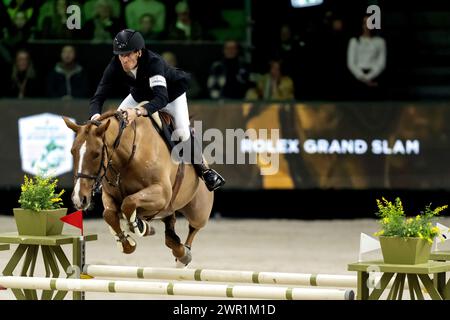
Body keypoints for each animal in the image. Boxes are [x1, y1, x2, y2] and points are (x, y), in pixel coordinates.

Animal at [62, 109, 214, 266]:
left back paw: (184, 255)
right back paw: (177, 248)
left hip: (198, 211)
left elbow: (128, 203)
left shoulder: (161, 193)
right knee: (170, 229)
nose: (78, 199)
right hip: (170, 209)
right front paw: (129, 242)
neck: (128, 156)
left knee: (193, 227)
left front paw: (139, 226)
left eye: (96, 154)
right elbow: (109, 214)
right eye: (72, 151)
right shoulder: (109, 195)